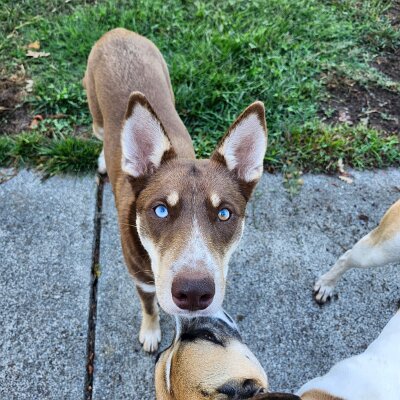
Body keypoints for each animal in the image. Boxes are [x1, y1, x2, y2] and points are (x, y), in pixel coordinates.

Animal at [83, 28, 267, 351]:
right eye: (160, 210)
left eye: (224, 213)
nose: (194, 293)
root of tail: (118, 31)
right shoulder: (142, 281)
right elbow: (149, 307)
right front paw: (150, 332)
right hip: (96, 116)